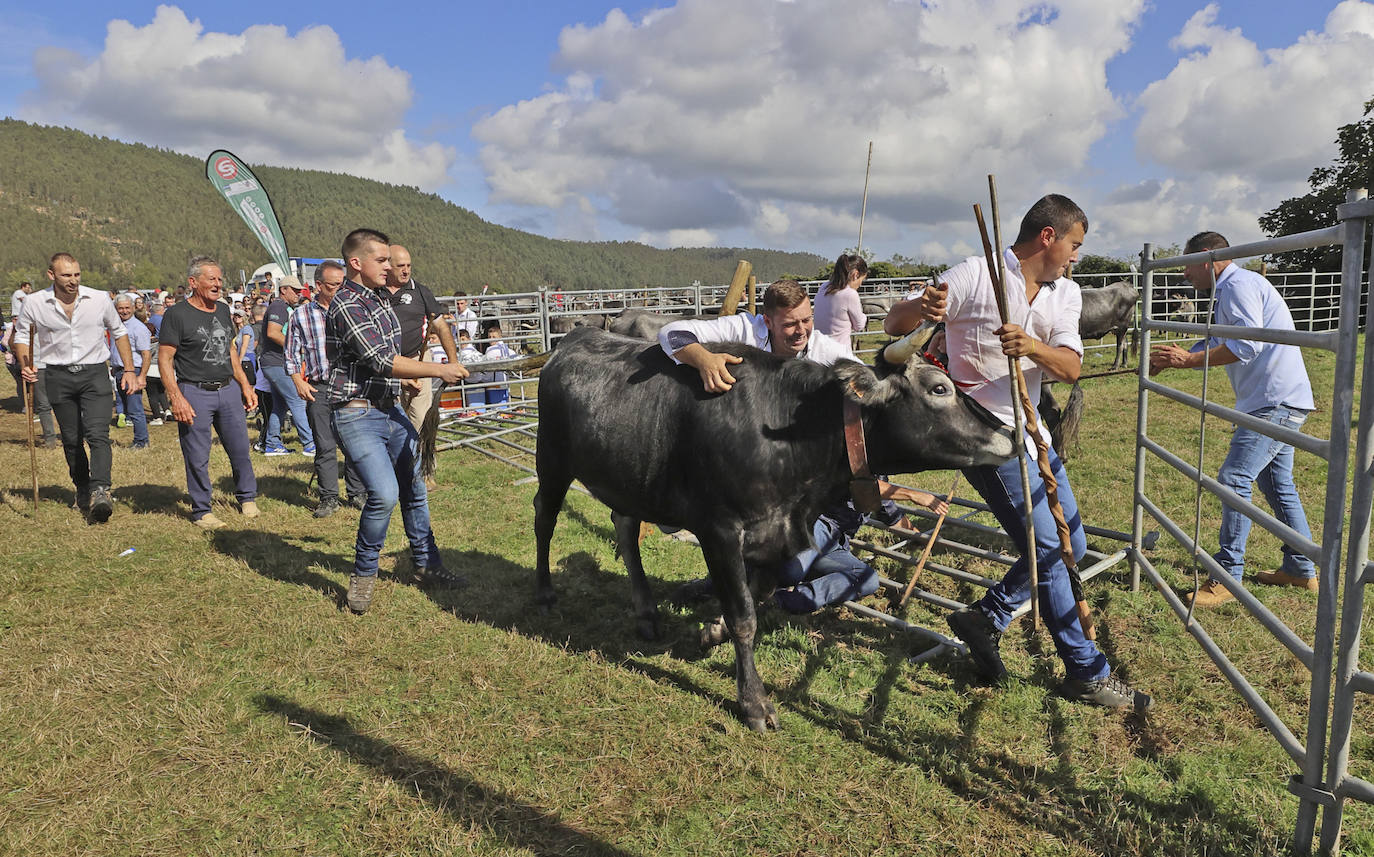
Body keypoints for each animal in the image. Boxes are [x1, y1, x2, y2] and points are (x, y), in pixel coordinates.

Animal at [530, 328, 1016, 730]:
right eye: (940, 388)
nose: (1009, 435)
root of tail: (573, 340)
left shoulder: (774, 536)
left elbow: (758, 595)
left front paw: (712, 631)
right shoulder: (719, 530)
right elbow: (744, 616)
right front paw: (753, 702)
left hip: (630, 478)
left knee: (626, 529)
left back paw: (647, 614)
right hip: (552, 461)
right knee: (544, 518)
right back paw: (545, 594)